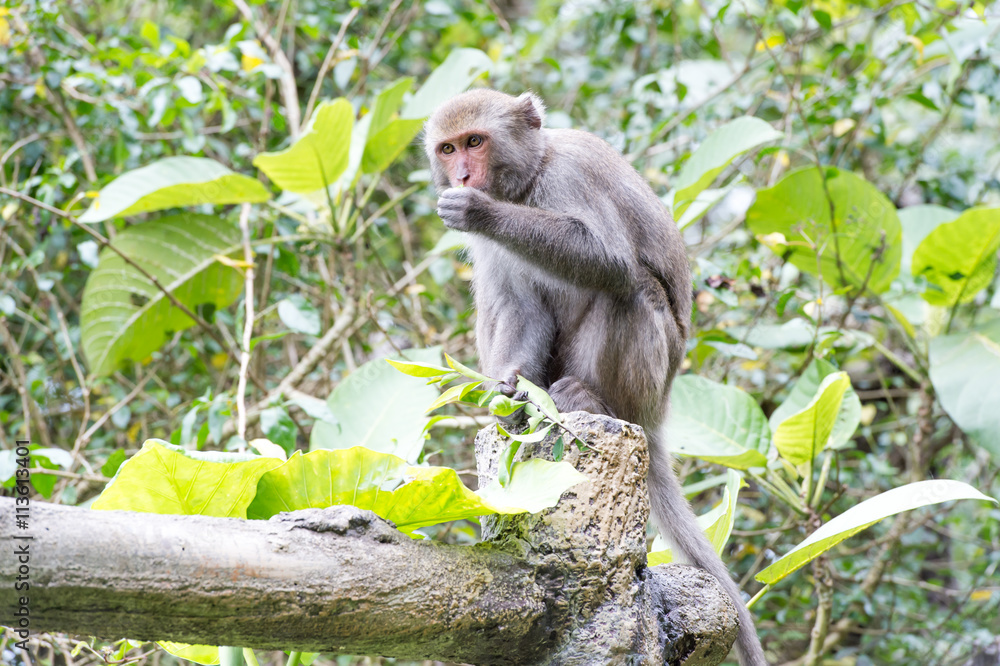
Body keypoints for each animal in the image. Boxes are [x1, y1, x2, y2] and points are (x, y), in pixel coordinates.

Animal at [426, 89, 768, 664]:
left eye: (475, 141)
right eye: (447, 149)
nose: (464, 176)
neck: (529, 180)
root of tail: (653, 417)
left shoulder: (571, 174)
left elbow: (606, 260)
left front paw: (482, 211)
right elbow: (520, 306)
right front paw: (511, 389)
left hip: (647, 386)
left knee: (629, 287)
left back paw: (587, 399)